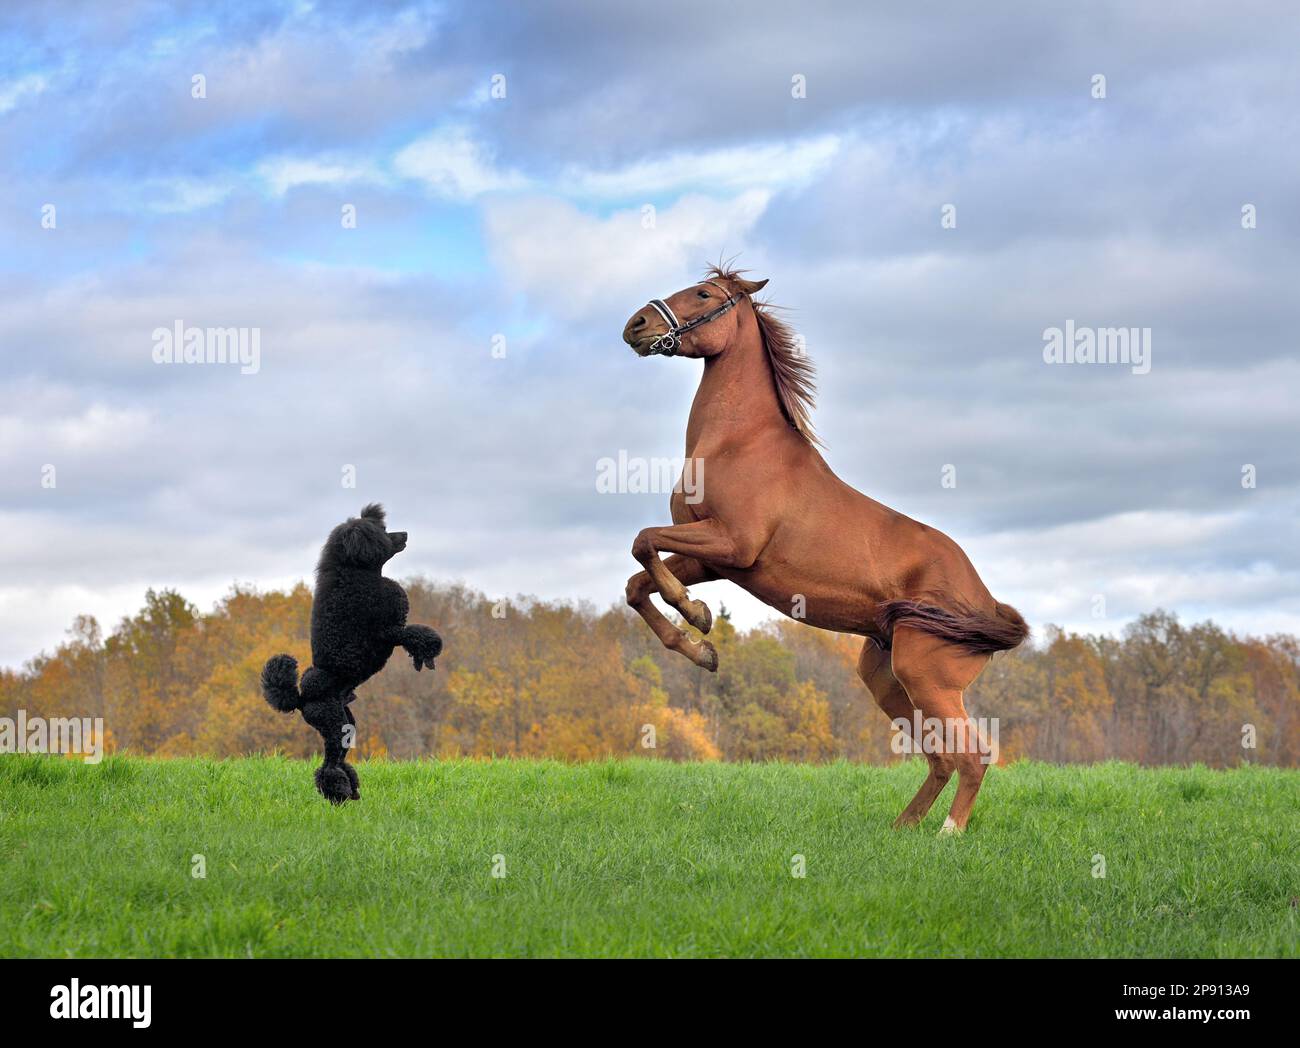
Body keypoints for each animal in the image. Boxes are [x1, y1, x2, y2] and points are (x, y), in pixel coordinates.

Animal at [618, 266, 1024, 832]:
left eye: (703, 293)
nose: (636, 324)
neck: (740, 444)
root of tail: (986, 605)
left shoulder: (732, 544)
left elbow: (643, 543)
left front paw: (696, 615)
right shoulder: (713, 558)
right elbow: (637, 582)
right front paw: (701, 649)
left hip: (928, 680)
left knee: (973, 754)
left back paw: (948, 833)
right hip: (887, 679)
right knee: (941, 758)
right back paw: (903, 829)